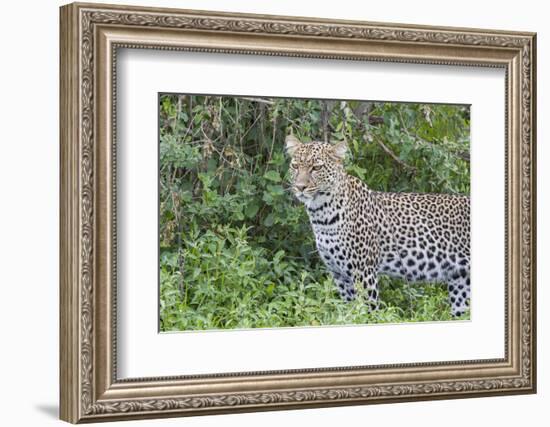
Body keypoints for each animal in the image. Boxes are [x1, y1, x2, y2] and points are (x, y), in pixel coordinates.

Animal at [286, 135, 472, 318]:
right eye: (295, 166)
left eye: (316, 167)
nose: (300, 187)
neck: (321, 214)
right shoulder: (340, 276)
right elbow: (349, 313)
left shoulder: (363, 273)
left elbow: (366, 314)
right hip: (461, 283)